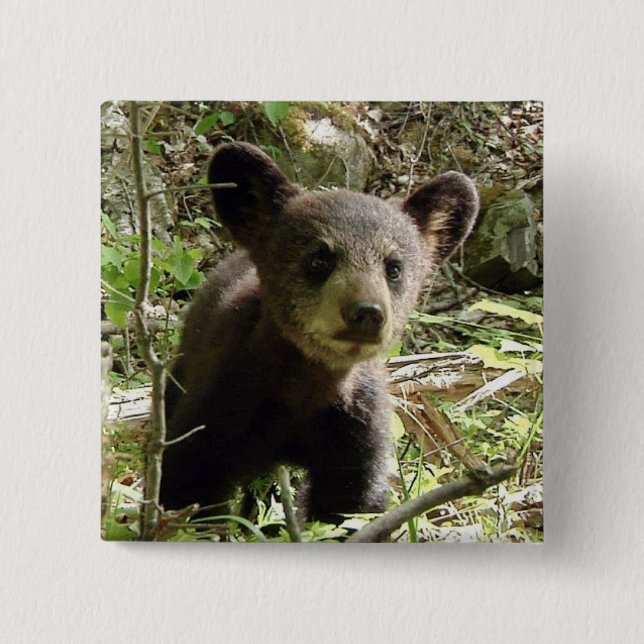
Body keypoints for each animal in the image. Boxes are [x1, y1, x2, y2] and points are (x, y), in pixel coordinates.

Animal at [159, 141, 479, 523]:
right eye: (319, 259)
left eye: (394, 268)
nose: (367, 313)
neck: (304, 388)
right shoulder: (219, 401)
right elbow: (187, 481)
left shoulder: (356, 429)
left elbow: (352, 504)